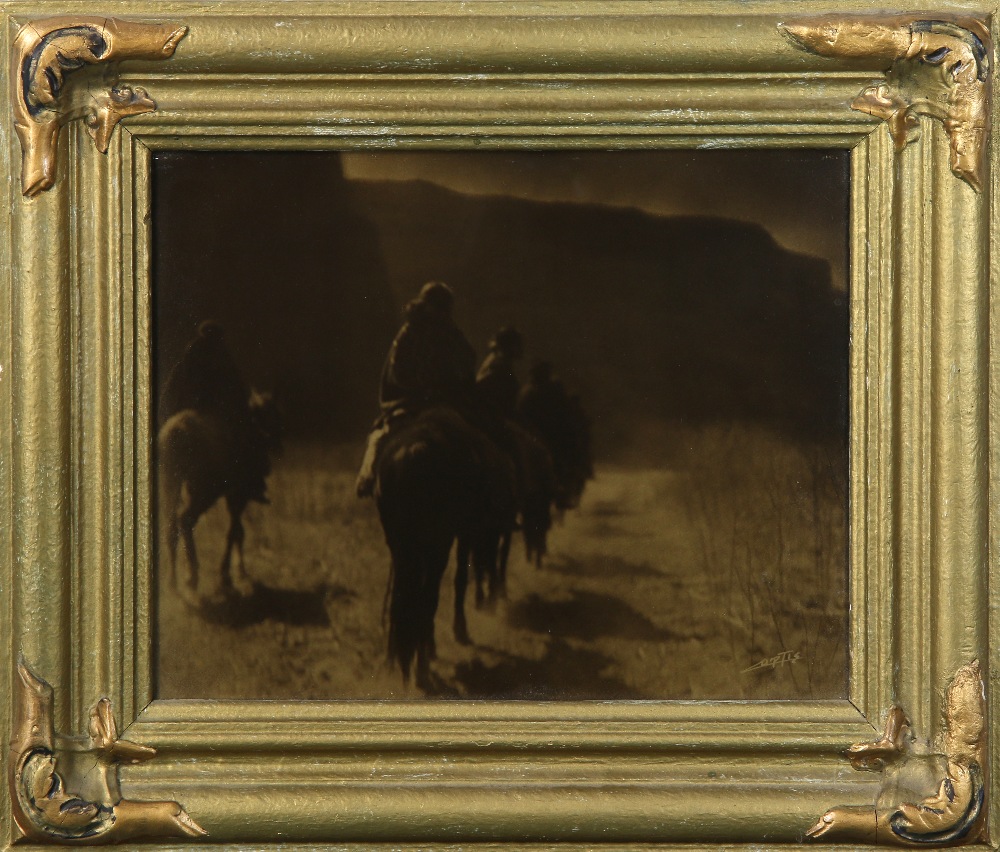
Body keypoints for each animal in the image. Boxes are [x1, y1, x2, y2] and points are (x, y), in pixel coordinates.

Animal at [158, 392, 282, 600]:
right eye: (268, 414)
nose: (276, 442)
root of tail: (176, 431)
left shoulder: (231, 497)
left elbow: (237, 531)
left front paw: (235, 575)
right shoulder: (238, 495)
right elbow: (234, 532)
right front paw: (229, 577)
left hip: (171, 487)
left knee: (171, 525)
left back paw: (172, 584)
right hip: (203, 492)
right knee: (185, 519)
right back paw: (191, 578)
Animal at [374, 402, 516, 688]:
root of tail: (413, 453)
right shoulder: (465, 533)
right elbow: (461, 578)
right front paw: (459, 630)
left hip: (402, 547)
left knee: (407, 598)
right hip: (438, 545)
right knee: (429, 595)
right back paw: (422, 665)